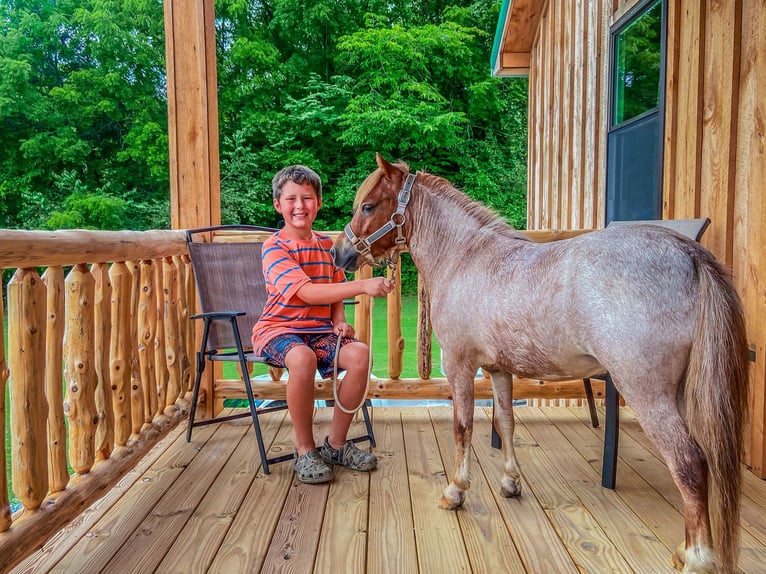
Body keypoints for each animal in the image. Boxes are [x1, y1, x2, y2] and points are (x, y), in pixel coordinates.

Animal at [334, 154, 752, 574]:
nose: (340, 253)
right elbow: (505, 421)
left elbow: (462, 427)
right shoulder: (498, 369)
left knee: (689, 463)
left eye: (368, 206)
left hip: (648, 394)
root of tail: (688, 253)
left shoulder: (459, 364)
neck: (464, 258)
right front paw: (510, 482)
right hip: (683, 393)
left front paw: (456, 490)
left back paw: (696, 557)